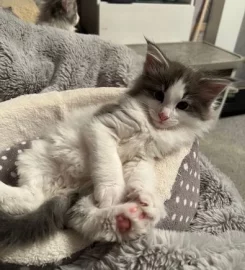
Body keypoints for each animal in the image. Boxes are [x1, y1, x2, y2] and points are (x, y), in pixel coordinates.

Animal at [0, 40, 230, 249]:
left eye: (183, 105)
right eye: (159, 95)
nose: (164, 116)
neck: (151, 128)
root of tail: (64, 190)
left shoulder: (141, 157)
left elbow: (142, 176)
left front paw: (145, 197)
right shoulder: (102, 126)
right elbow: (109, 164)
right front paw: (112, 192)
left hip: (77, 197)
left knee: (75, 216)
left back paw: (125, 220)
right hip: (35, 157)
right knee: (29, 197)